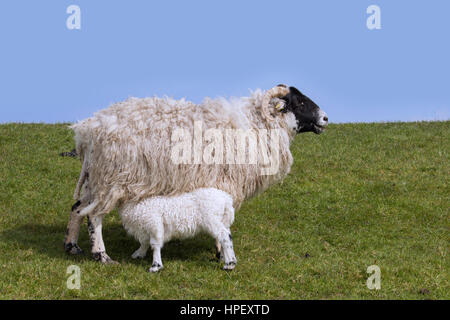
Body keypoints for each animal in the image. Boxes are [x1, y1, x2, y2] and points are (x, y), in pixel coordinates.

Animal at [65, 84, 328, 262]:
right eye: (299, 103)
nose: (325, 118)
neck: (257, 125)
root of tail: (87, 130)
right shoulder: (225, 185)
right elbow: (223, 221)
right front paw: (221, 252)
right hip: (110, 179)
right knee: (94, 216)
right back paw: (101, 255)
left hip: (95, 178)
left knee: (77, 207)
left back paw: (72, 246)